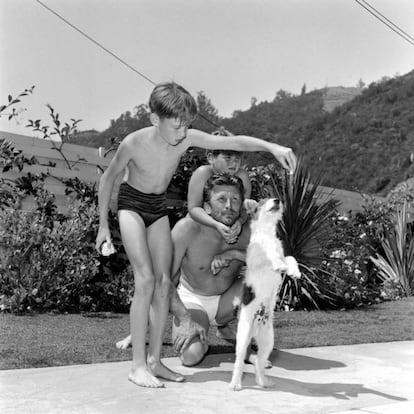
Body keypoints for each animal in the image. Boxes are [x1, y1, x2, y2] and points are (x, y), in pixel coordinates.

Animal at [230, 199, 300, 390]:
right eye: (262, 202)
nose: (277, 200)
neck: (268, 233)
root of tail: (255, 328)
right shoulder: (258, 260)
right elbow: (269, 253)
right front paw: (278, 263)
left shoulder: (284, 254)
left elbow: (289, 258)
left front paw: (294, 271)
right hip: (243, 338)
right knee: (239, 362)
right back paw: (235, 384)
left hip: (267, 341)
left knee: (260, 364)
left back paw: (263, 382)